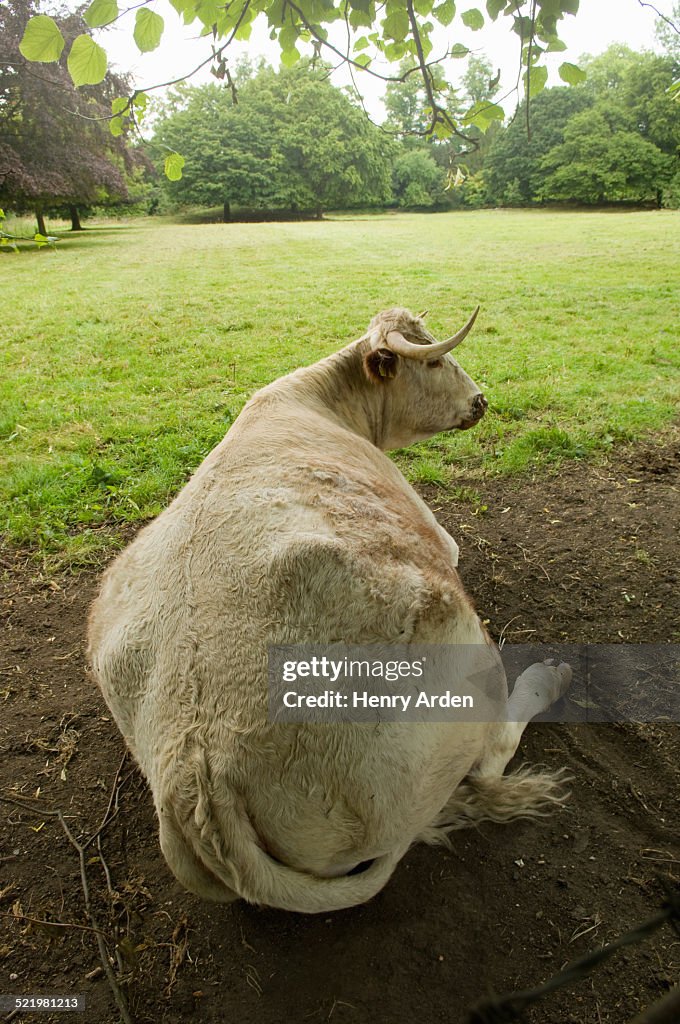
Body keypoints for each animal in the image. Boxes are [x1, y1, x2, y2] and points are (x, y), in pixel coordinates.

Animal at [87, 307, 569, 917]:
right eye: (435, 361)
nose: (481, 400)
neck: (323, 402)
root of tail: (196, 775)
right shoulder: (441, 537)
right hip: (462, 660)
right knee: (490, 752)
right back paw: (548, 678)